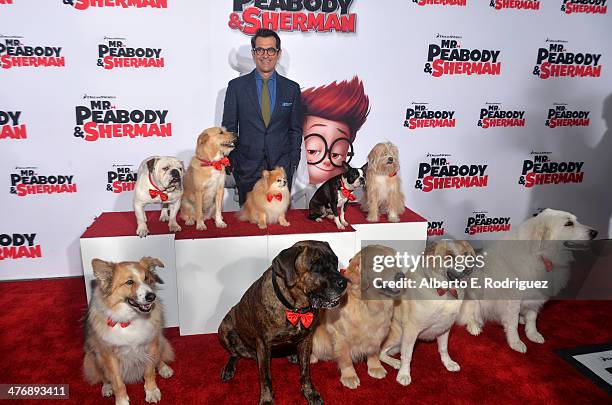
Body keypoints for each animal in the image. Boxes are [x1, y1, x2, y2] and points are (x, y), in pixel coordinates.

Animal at [82, 258, 173, 402]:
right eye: (129, 282)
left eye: (147, 279)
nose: (151, 296)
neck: (131, 320)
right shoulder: (109, 356)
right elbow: (117, 383)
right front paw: (121, 400)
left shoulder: (151, 346)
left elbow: (149, 372)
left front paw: (151, 391)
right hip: (93, 355)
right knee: (103, 376)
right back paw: (107, 387)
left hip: (160, 341)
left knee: (160, 357)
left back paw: (164, 368)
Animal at [460, 210, 596, 352]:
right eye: (569, 223)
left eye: (576, 220)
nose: (595, 232)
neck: (540, 255)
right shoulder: (512, 301)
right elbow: (513, 324)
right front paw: (515, 342)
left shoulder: (535, 297)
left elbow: (532, 318)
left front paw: (532, 334)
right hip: (474, 297)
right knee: (470, 315)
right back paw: (474, 327)